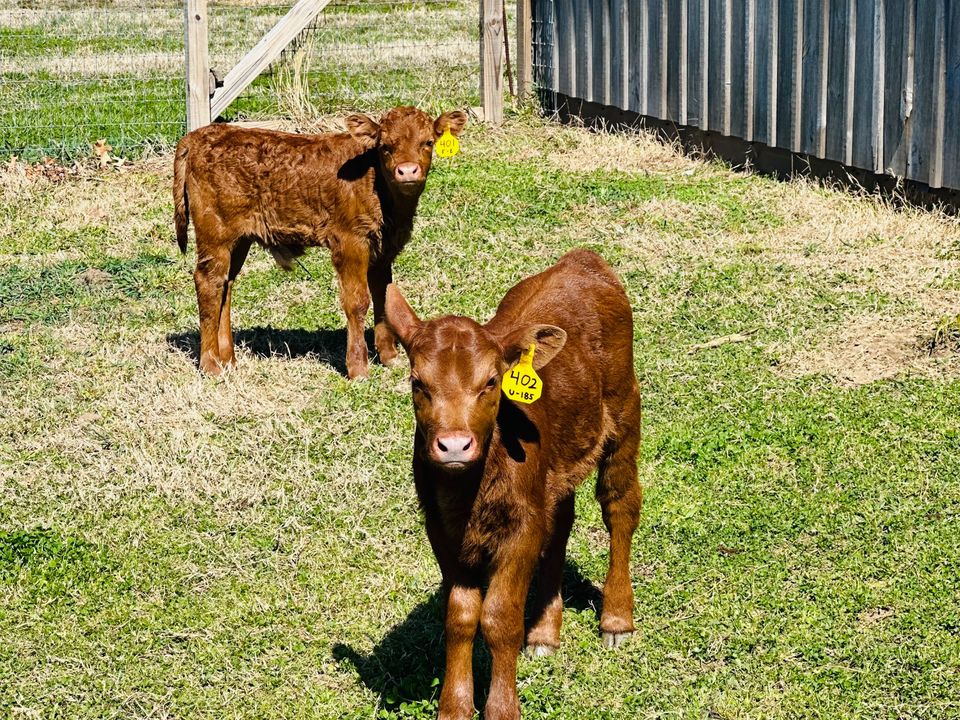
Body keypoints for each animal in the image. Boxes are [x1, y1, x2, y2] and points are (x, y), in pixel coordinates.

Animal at [172, 106, 467, 379]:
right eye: (385, 146)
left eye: (427, 142)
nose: (407, 171)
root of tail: (199, 135)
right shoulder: (350, 242)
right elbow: (358, 301)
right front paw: (358, 368)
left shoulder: (383, 248)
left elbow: (383, 295)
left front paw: (389, 356)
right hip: (215, 233)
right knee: (209, 281)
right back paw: (211, 365)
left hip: (239, 239)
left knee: (226, 284)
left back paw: (229, 360)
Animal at [384, 249, 643, 720]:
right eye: (418, 383)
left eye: (491, 382)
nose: (454, 445)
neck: (469, 493)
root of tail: (582, 259)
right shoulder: (442, 531)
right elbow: (460, 616)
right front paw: (454, 707)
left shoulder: (520, 530)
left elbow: (500, 618)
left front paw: (502, 708)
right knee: (560, 522)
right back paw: (544, 632)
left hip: (624, 407)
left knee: (620, 503)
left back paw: (616, 619)